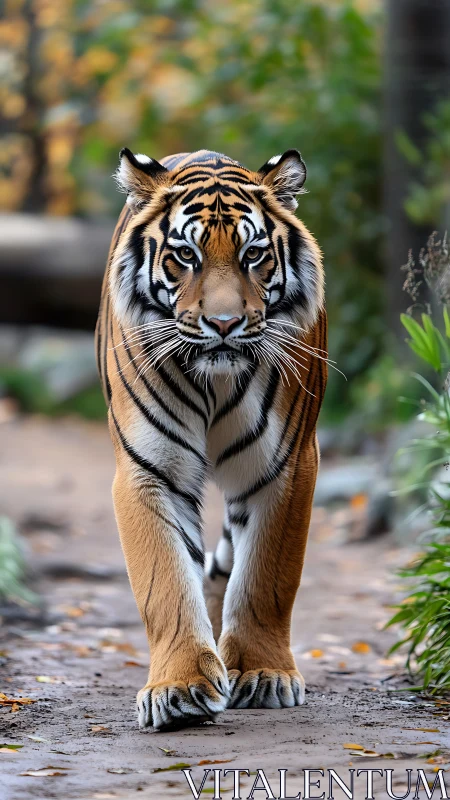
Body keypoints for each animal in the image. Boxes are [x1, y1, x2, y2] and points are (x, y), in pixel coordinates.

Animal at [95, 147, 327, 731]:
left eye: (253, 254)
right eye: (185, 255)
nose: (224, 324)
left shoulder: (286, 465)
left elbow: (267, 577)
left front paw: (263, 673)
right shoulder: (149, 469)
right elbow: (165, 582)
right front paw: (178, 687)